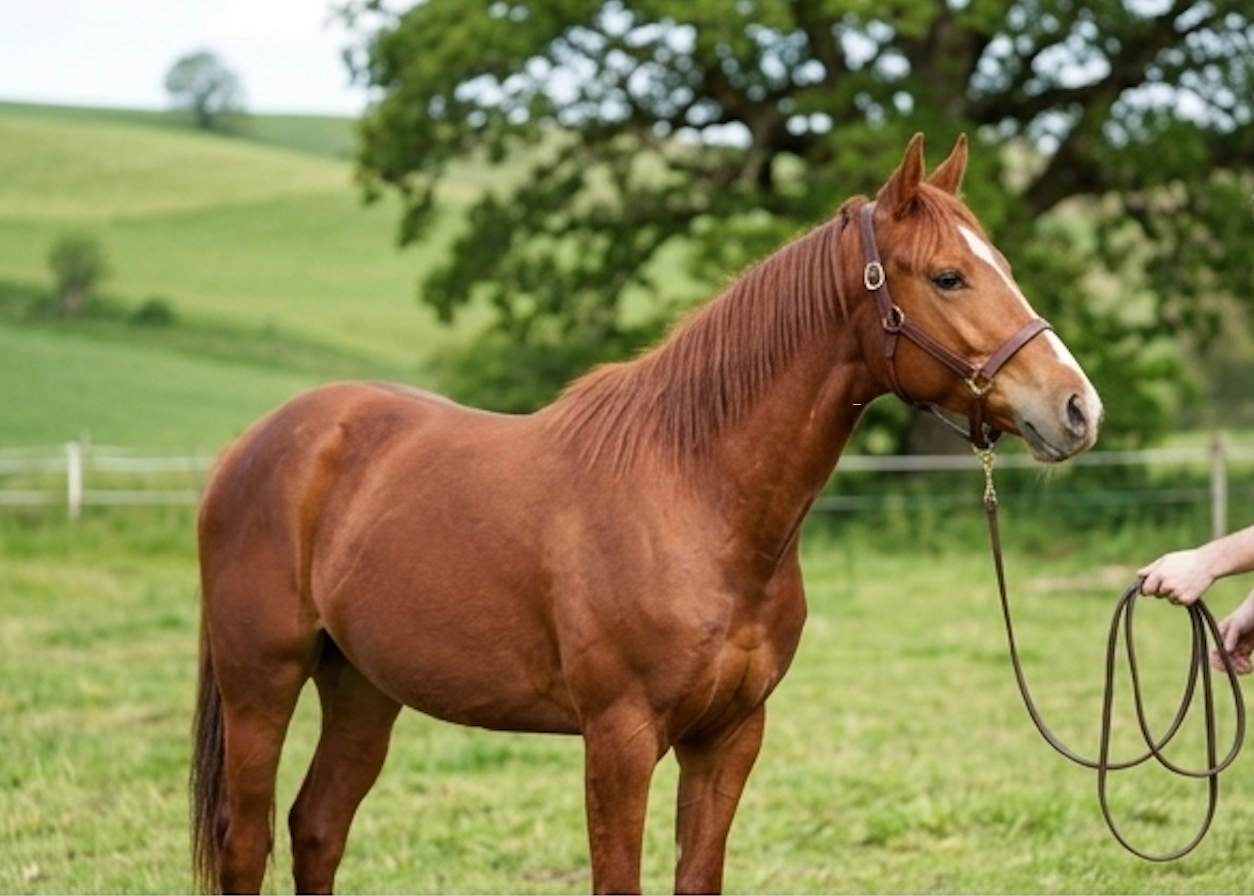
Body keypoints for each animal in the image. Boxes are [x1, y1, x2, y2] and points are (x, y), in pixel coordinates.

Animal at [192, 133, 1102, 894]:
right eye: (949, 276)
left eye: (1002, 264)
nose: (1077, 408)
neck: (695, 494)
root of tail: (252, 447)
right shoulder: (620, 741)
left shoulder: (730, 736)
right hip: (261, 683)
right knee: (250, 843)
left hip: (362, 686)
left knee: (317, 828)